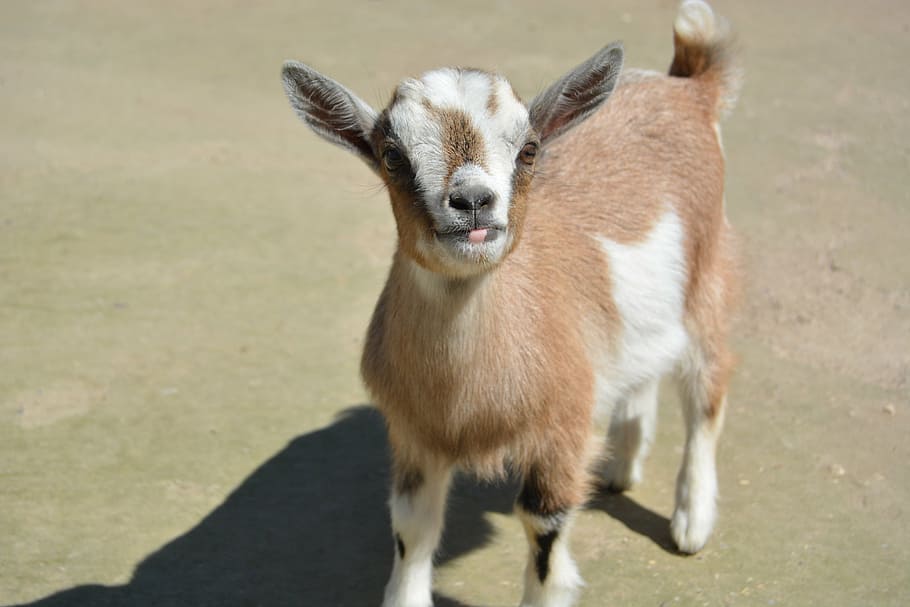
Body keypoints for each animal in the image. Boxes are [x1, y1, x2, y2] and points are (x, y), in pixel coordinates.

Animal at [282, 1, 740, 605]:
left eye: (528, 149)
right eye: (391, 156)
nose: (473, 202)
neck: (464, 402)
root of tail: (687, 85)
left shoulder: (561, 429)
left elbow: (543, 527)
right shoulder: (414, 433)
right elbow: (411, 526)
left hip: (709, 280)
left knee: (706, 391)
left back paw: (691, 522)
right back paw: (621, 465)